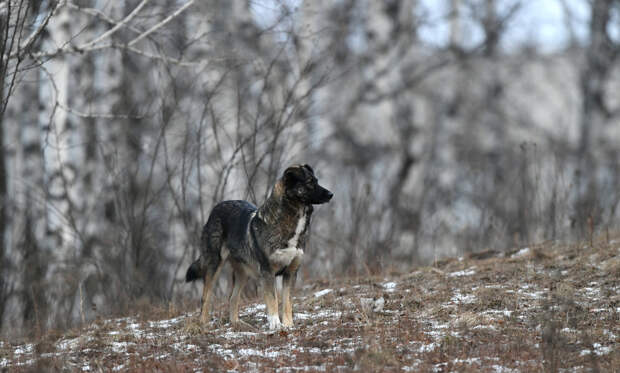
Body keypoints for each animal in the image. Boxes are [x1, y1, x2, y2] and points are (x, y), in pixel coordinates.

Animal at [185, 163, 334, 328]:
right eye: (309, 183)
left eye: (317, 180)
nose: (331, 194)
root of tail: (216, 209)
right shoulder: (267, 272)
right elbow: (273, 300)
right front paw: (276, 325)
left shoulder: (290, 272)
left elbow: (287, 303)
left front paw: (288, 325)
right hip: (214, 265)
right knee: (206, 297)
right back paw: (204, 324)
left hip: (243, 272)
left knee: (233, 298)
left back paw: (238, 324)